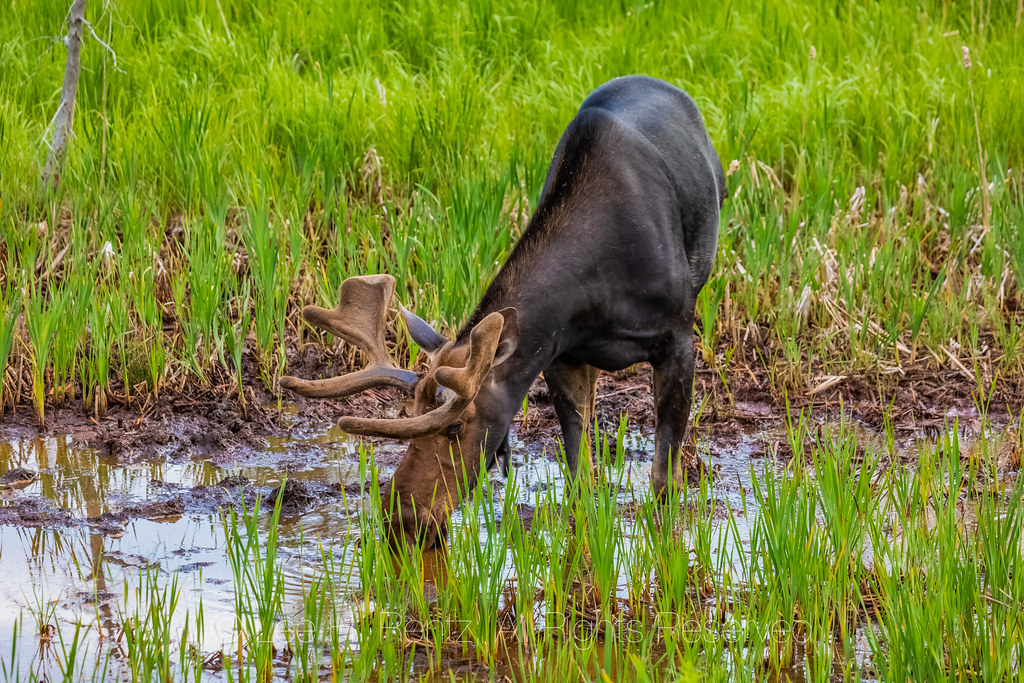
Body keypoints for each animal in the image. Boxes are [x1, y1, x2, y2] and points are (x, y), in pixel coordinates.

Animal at [282, 75, 725, 549]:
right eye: (409, 415)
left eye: (456, 427)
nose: (403, 517)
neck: (597, 290)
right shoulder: (561, 352)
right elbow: (579, 476)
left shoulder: (678, 339)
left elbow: (664, 482)